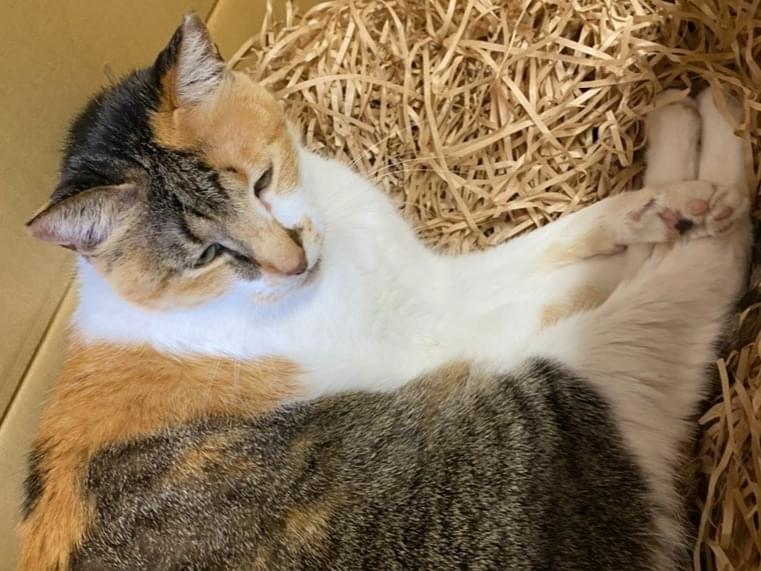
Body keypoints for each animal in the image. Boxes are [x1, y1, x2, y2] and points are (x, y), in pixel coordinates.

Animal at [19, 14, 751, 571]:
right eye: (207, 256)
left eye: (262, 181)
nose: (292, 260)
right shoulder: (443, 326)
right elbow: (551, 278)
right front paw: (675, 200)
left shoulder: (435, 278)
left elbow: (558, 242)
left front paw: (655, 207)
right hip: (560, 395)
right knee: (697, 276)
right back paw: (716, 139)